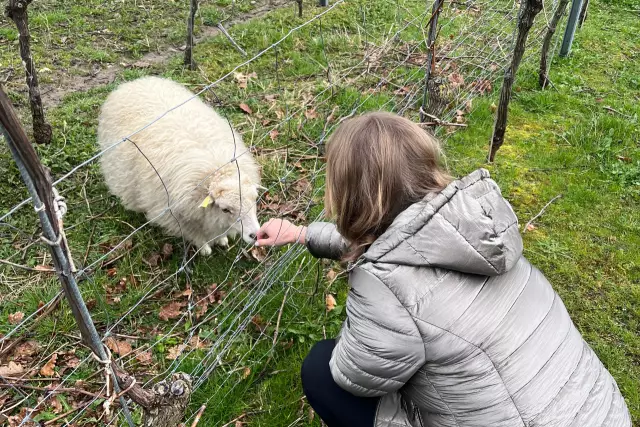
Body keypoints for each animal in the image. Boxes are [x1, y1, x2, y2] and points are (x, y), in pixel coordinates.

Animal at [98, 75, 262, 256]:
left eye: (254, 199)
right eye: (225, 209)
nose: (256, 235)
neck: (216, 169)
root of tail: (132, 83)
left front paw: (221, 239)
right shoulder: (178, 219)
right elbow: (197, 236)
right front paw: (204, 249)